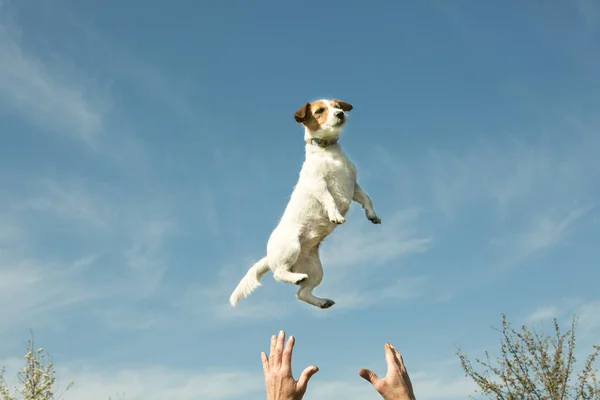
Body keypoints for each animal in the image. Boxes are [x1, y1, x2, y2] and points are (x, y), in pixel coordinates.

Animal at [229, 99, 380, 310]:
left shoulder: (353, 186)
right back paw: (296, 278)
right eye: (319, 111)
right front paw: (335, 215)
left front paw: (372, 215)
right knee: (279, 274)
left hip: (315, 270)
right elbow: (329, 199)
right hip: (291, 247)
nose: (340, 114)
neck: (328, 152)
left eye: (337, 105)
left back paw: (321, 300)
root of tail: (270, 256)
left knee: (301, 294)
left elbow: (367, 198)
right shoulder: (318, 184)